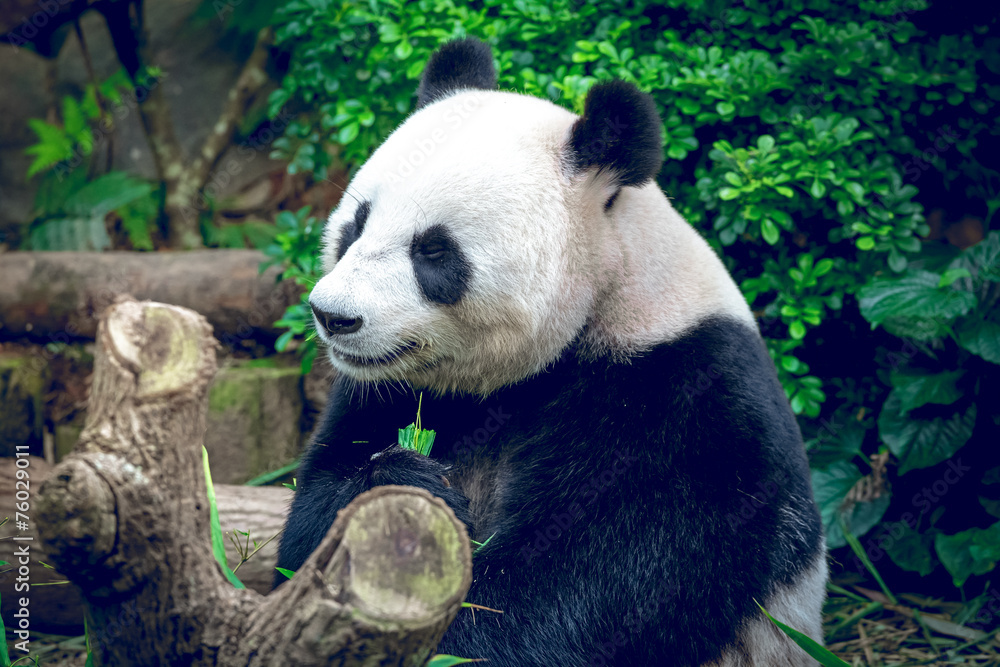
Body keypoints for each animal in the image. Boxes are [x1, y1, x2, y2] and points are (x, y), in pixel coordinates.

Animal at [275, 38, 827, 666]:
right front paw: (402, 487)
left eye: (434, 251)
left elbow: (574, 595)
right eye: (357, 224)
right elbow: (306, 530)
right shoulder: (394, 390)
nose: (333, 316)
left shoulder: (685, 402)